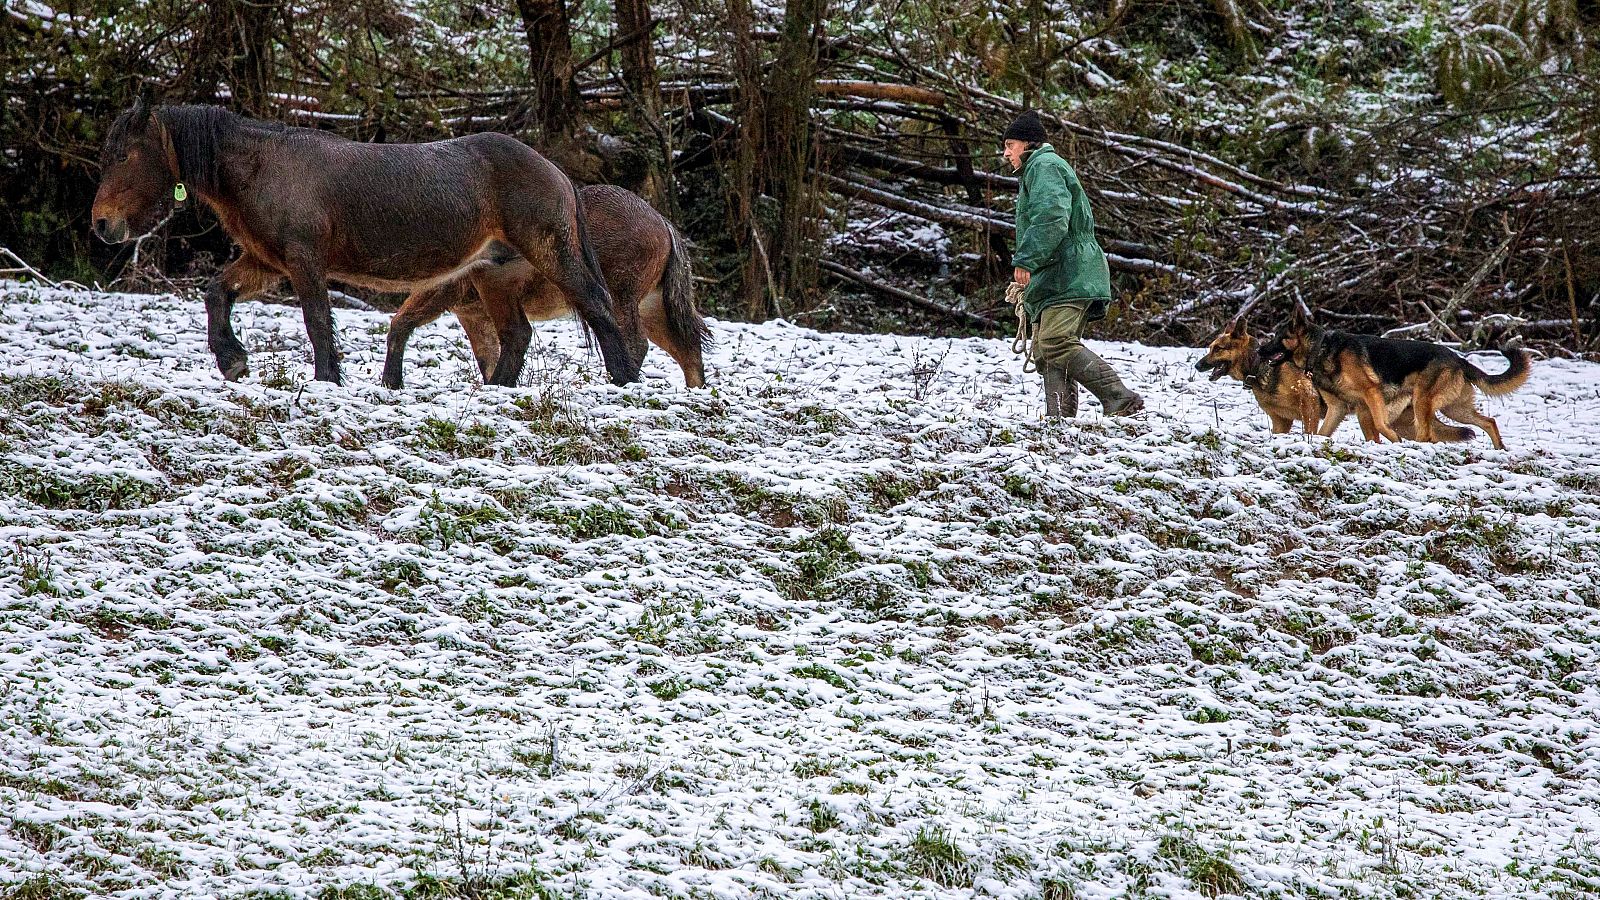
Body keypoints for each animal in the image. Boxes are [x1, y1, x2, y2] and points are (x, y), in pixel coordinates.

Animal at [90, 100, 633, 385]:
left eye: (124, 155)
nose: (101, 223)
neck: (265, 166)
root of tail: (556, 172)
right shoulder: (268, 261)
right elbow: (216, 292)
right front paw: (232, 359)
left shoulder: (303, 260)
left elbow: (316, 321)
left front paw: (327, 380)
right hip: (494, 272)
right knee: (516, 335)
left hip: (548, 252)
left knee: (598, 306)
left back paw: (624, 383)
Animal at [377, 184, 710, 387]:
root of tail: (664, 224)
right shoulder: (473, 313)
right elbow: (487, 355)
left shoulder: (451, 291)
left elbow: (402, 321)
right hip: (652, 305)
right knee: (688, 349)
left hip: (623, 296)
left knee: (636, 341)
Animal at [1260, 307, 1523, 448]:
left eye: (1278, 338)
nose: (1260, 351)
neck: (1321, 349)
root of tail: (1459, 359)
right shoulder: (1341, 408)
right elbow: (1323, 433)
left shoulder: (1371, 394)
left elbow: (1381, 425)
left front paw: (1395, 440)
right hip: (1454, 409)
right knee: (1489, 421)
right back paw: (1500, 449)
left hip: (1422, 402)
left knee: (1427, 434)